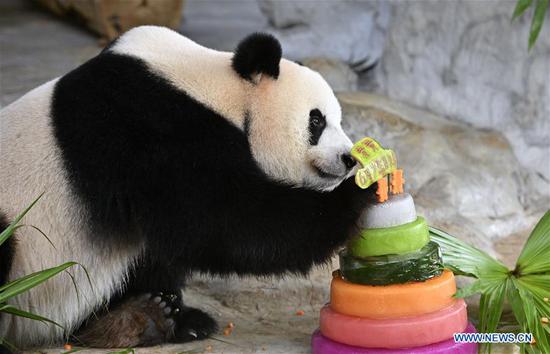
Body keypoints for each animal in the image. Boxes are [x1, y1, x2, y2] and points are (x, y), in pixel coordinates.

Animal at [1, 27, 370, 348]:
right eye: (316, 121)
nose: (348, 158)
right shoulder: (152, 128)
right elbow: (226, 220)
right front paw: (356, 196)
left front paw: (177, 315)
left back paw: (145, 317)